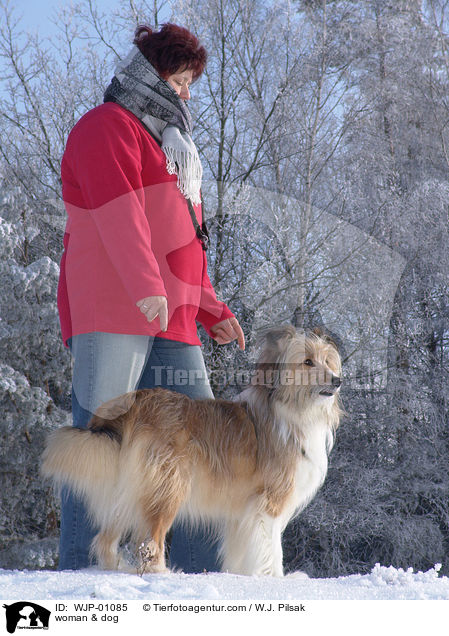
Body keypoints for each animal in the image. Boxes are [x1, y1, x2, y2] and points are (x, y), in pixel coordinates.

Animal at [43, 326, 344, 580]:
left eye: (328, 362)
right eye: (307, 362)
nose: (338, 380)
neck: (290, 407)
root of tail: (134, 403)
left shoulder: (242, 512)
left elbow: (243, 548)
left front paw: (241, 575)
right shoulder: (268, 502)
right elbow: (271, 547)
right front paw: (276, 578)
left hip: (130, 488)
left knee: (106, 538)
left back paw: (116, 567)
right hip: (167, 485)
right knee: (149, 539)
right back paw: (161, 572)